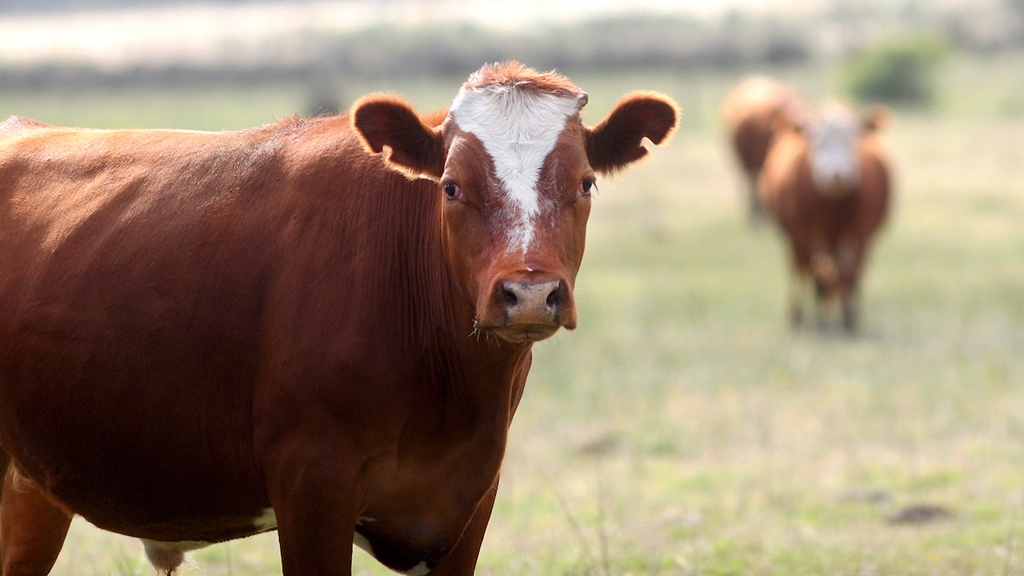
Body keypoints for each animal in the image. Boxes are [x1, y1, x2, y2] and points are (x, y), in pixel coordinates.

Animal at [0, 62, 679, 573]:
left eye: (586, 183)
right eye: (451, 187)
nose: (530, 293)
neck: (449, 395)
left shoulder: (469, 500)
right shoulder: (312, 486)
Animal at [757, 100, 892, 330]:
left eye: (852, 140)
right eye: (817, 141)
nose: (837, 176)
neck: (833, 205)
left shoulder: (861, 235)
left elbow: (850, 275)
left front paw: (849, 319)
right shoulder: (808, 235)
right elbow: (818, 275)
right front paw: (822, 319)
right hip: (796, 239)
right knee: (802, 270)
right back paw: (800, 314)